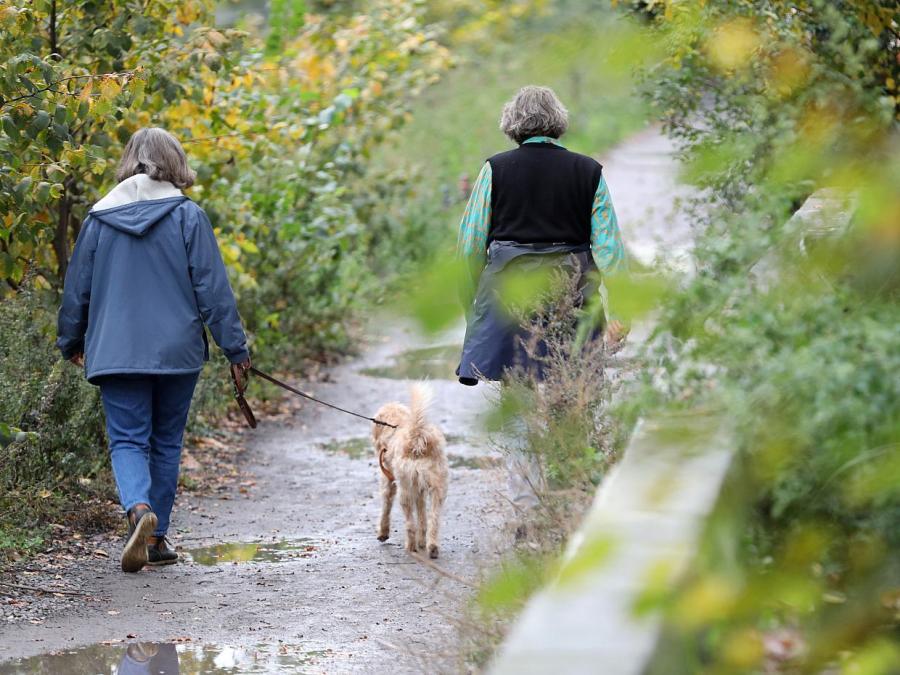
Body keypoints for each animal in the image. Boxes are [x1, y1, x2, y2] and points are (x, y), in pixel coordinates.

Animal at [370, 386, 448, 560]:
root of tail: (417, 436)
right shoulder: (420, 490)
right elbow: (422, 517)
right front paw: (422, 541)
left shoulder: (388, 482)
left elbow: (386, 507)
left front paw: (383, 533)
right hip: (437, 489)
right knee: (433, 520)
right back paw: (432, 547)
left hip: (405, 491)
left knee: (410, 524)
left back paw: (411, 546)